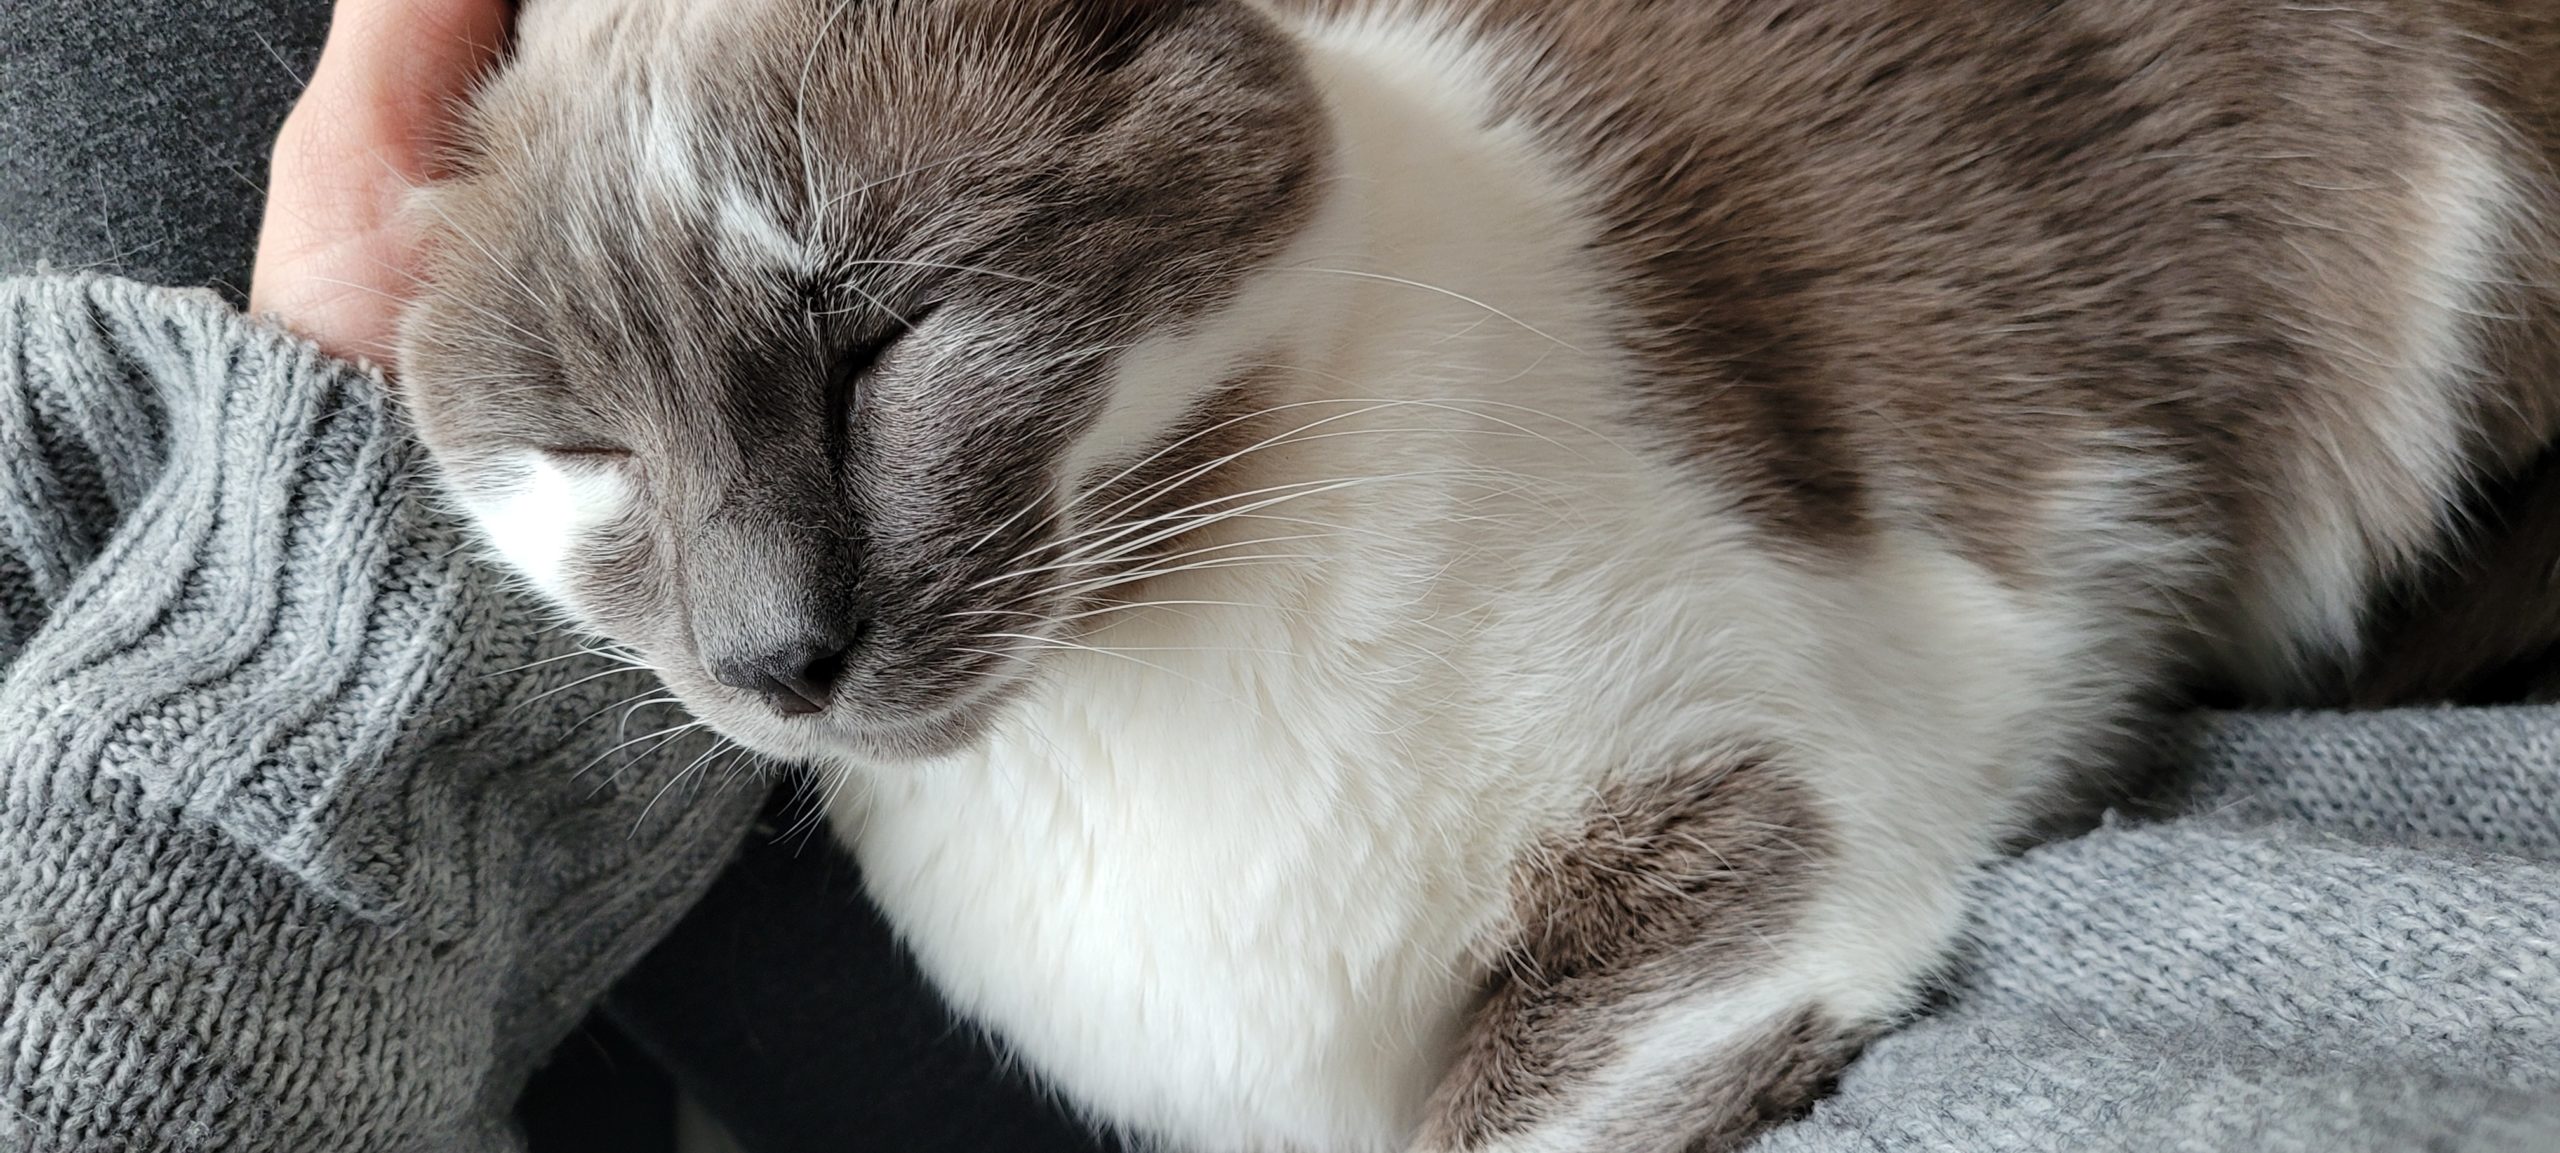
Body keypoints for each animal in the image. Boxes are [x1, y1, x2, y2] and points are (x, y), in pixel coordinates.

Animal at [394, 4, 2560, 1147]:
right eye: (587, 454)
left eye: (878, 347)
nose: (776, 652)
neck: (1122, 704)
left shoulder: (1753, 837)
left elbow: (1500, 1113)